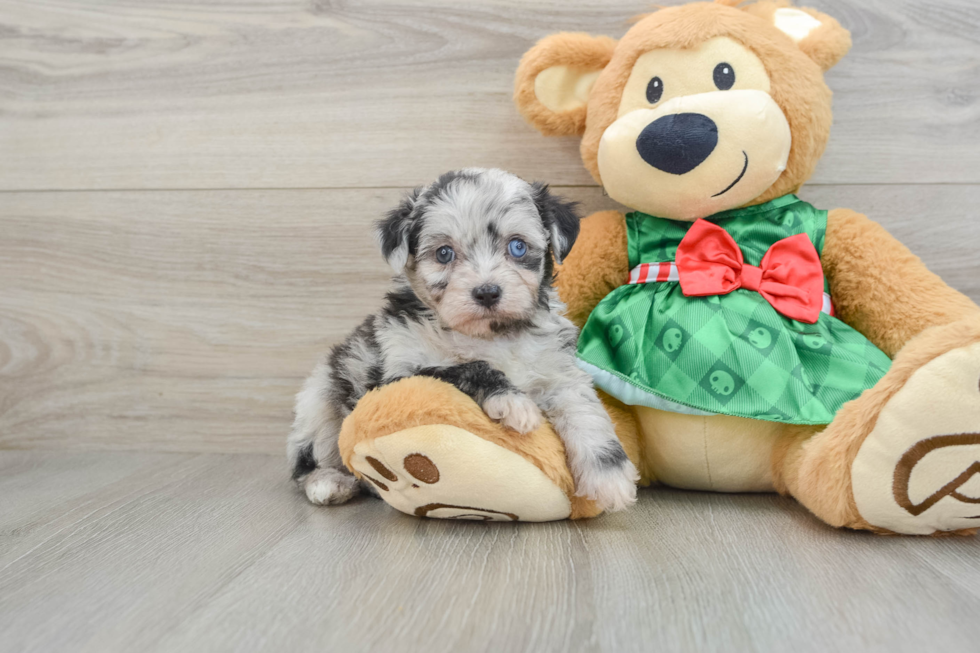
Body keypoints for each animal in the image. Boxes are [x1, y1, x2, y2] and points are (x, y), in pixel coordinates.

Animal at [288, 169, 640, 516]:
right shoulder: (397, 373)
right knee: (304, 461)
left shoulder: (560, 374)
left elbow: (586, 412)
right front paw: (512, 402)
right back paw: (329, 483)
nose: (487, 292)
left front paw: (610, 479)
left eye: (518, 247)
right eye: (444, 253)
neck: (491, 334)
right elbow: (467, 367)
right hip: (319, 398)